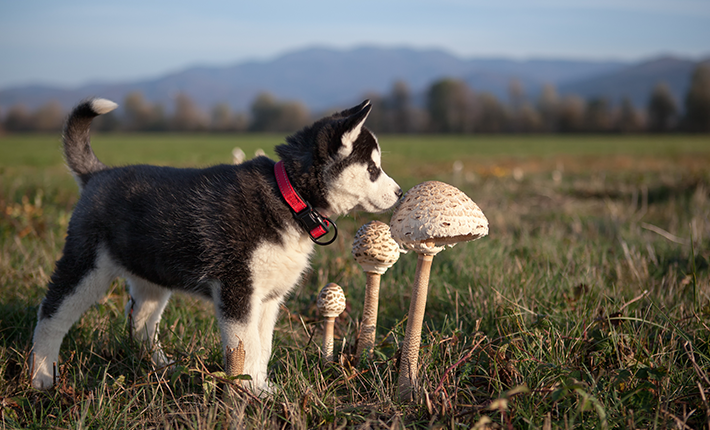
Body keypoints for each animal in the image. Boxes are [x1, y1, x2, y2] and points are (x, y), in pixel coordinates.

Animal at [30, 98, 404, 394]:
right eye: (373, 169)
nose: (400, 193)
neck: (291, 197)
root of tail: (98, 174)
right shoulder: (236, 289)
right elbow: (246, 347)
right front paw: (249, 392)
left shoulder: (268, 299)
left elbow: (262, 347)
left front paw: (263, 388)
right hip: (86, 265)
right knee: (51, 314)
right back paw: (42, 376)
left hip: (152, 274)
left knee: (141, 321)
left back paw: (161, 365)